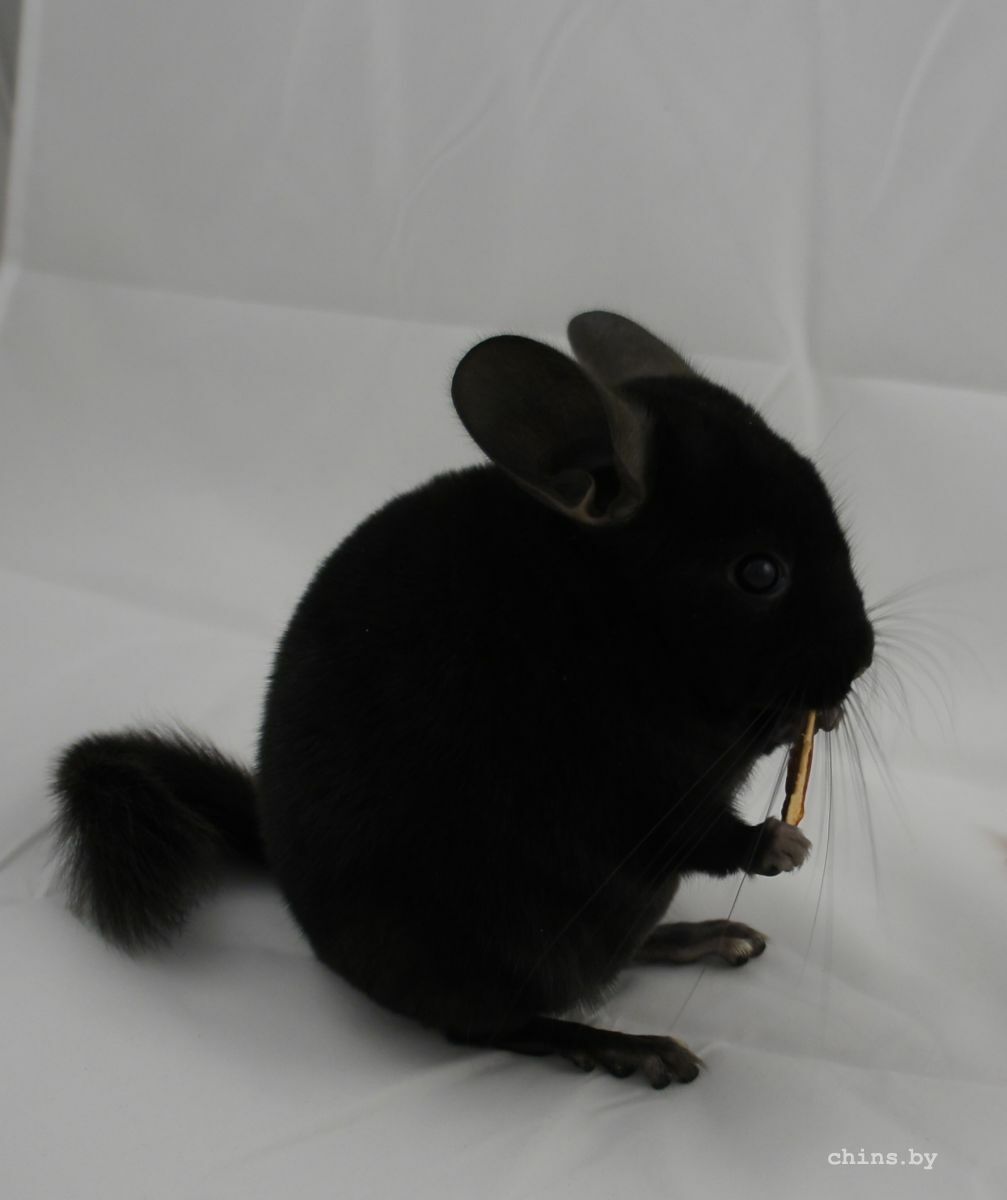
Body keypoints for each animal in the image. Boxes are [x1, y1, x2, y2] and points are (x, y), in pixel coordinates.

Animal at [52, 311, 874, 1089]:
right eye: (759, 573)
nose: (862, 657)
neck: (611, 616)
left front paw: (815, 718)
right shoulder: (628, 783)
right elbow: (700, 834)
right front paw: (781, 844)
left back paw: (710, 938)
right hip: (476, 951)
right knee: (498, 1027)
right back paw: (633, 1047)